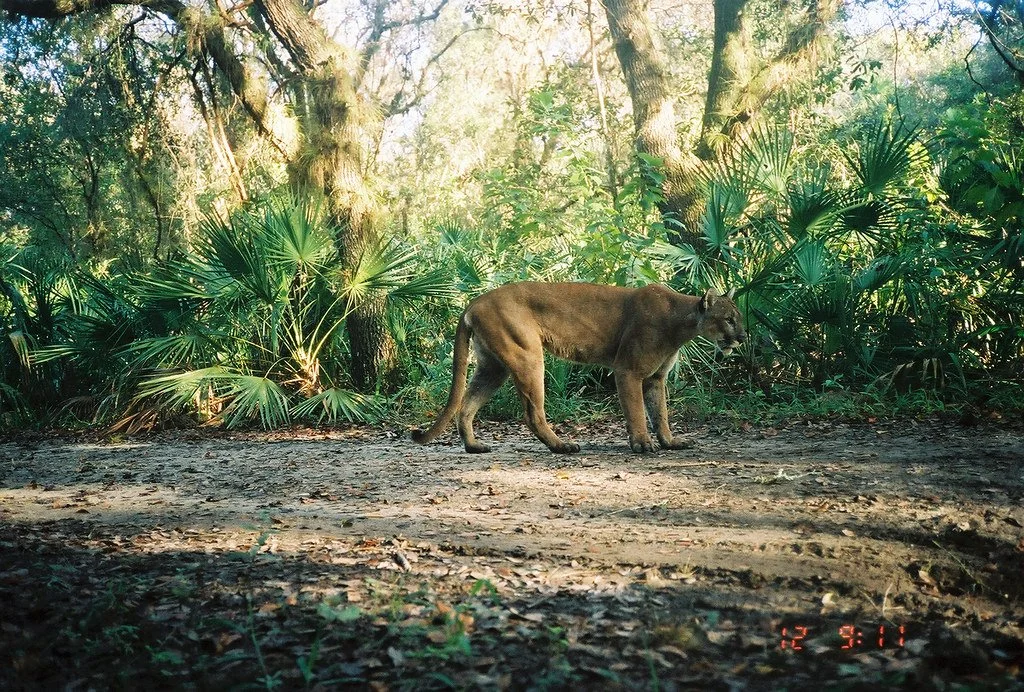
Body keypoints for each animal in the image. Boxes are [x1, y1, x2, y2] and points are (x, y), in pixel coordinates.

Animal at [412, 282, 745, 454]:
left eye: (738, 318)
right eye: (729, 319)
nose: (743, 336)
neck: (681, 321)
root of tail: (473, 302)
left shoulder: (656, 377)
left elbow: (660, 413)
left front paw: (670, 441)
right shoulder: (628, 370)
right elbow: (638, 411)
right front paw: (642, 444)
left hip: (493, 367)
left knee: (466, 405)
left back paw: (473, 446)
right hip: (528, 356)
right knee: (531, 413)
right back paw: (562, 446)